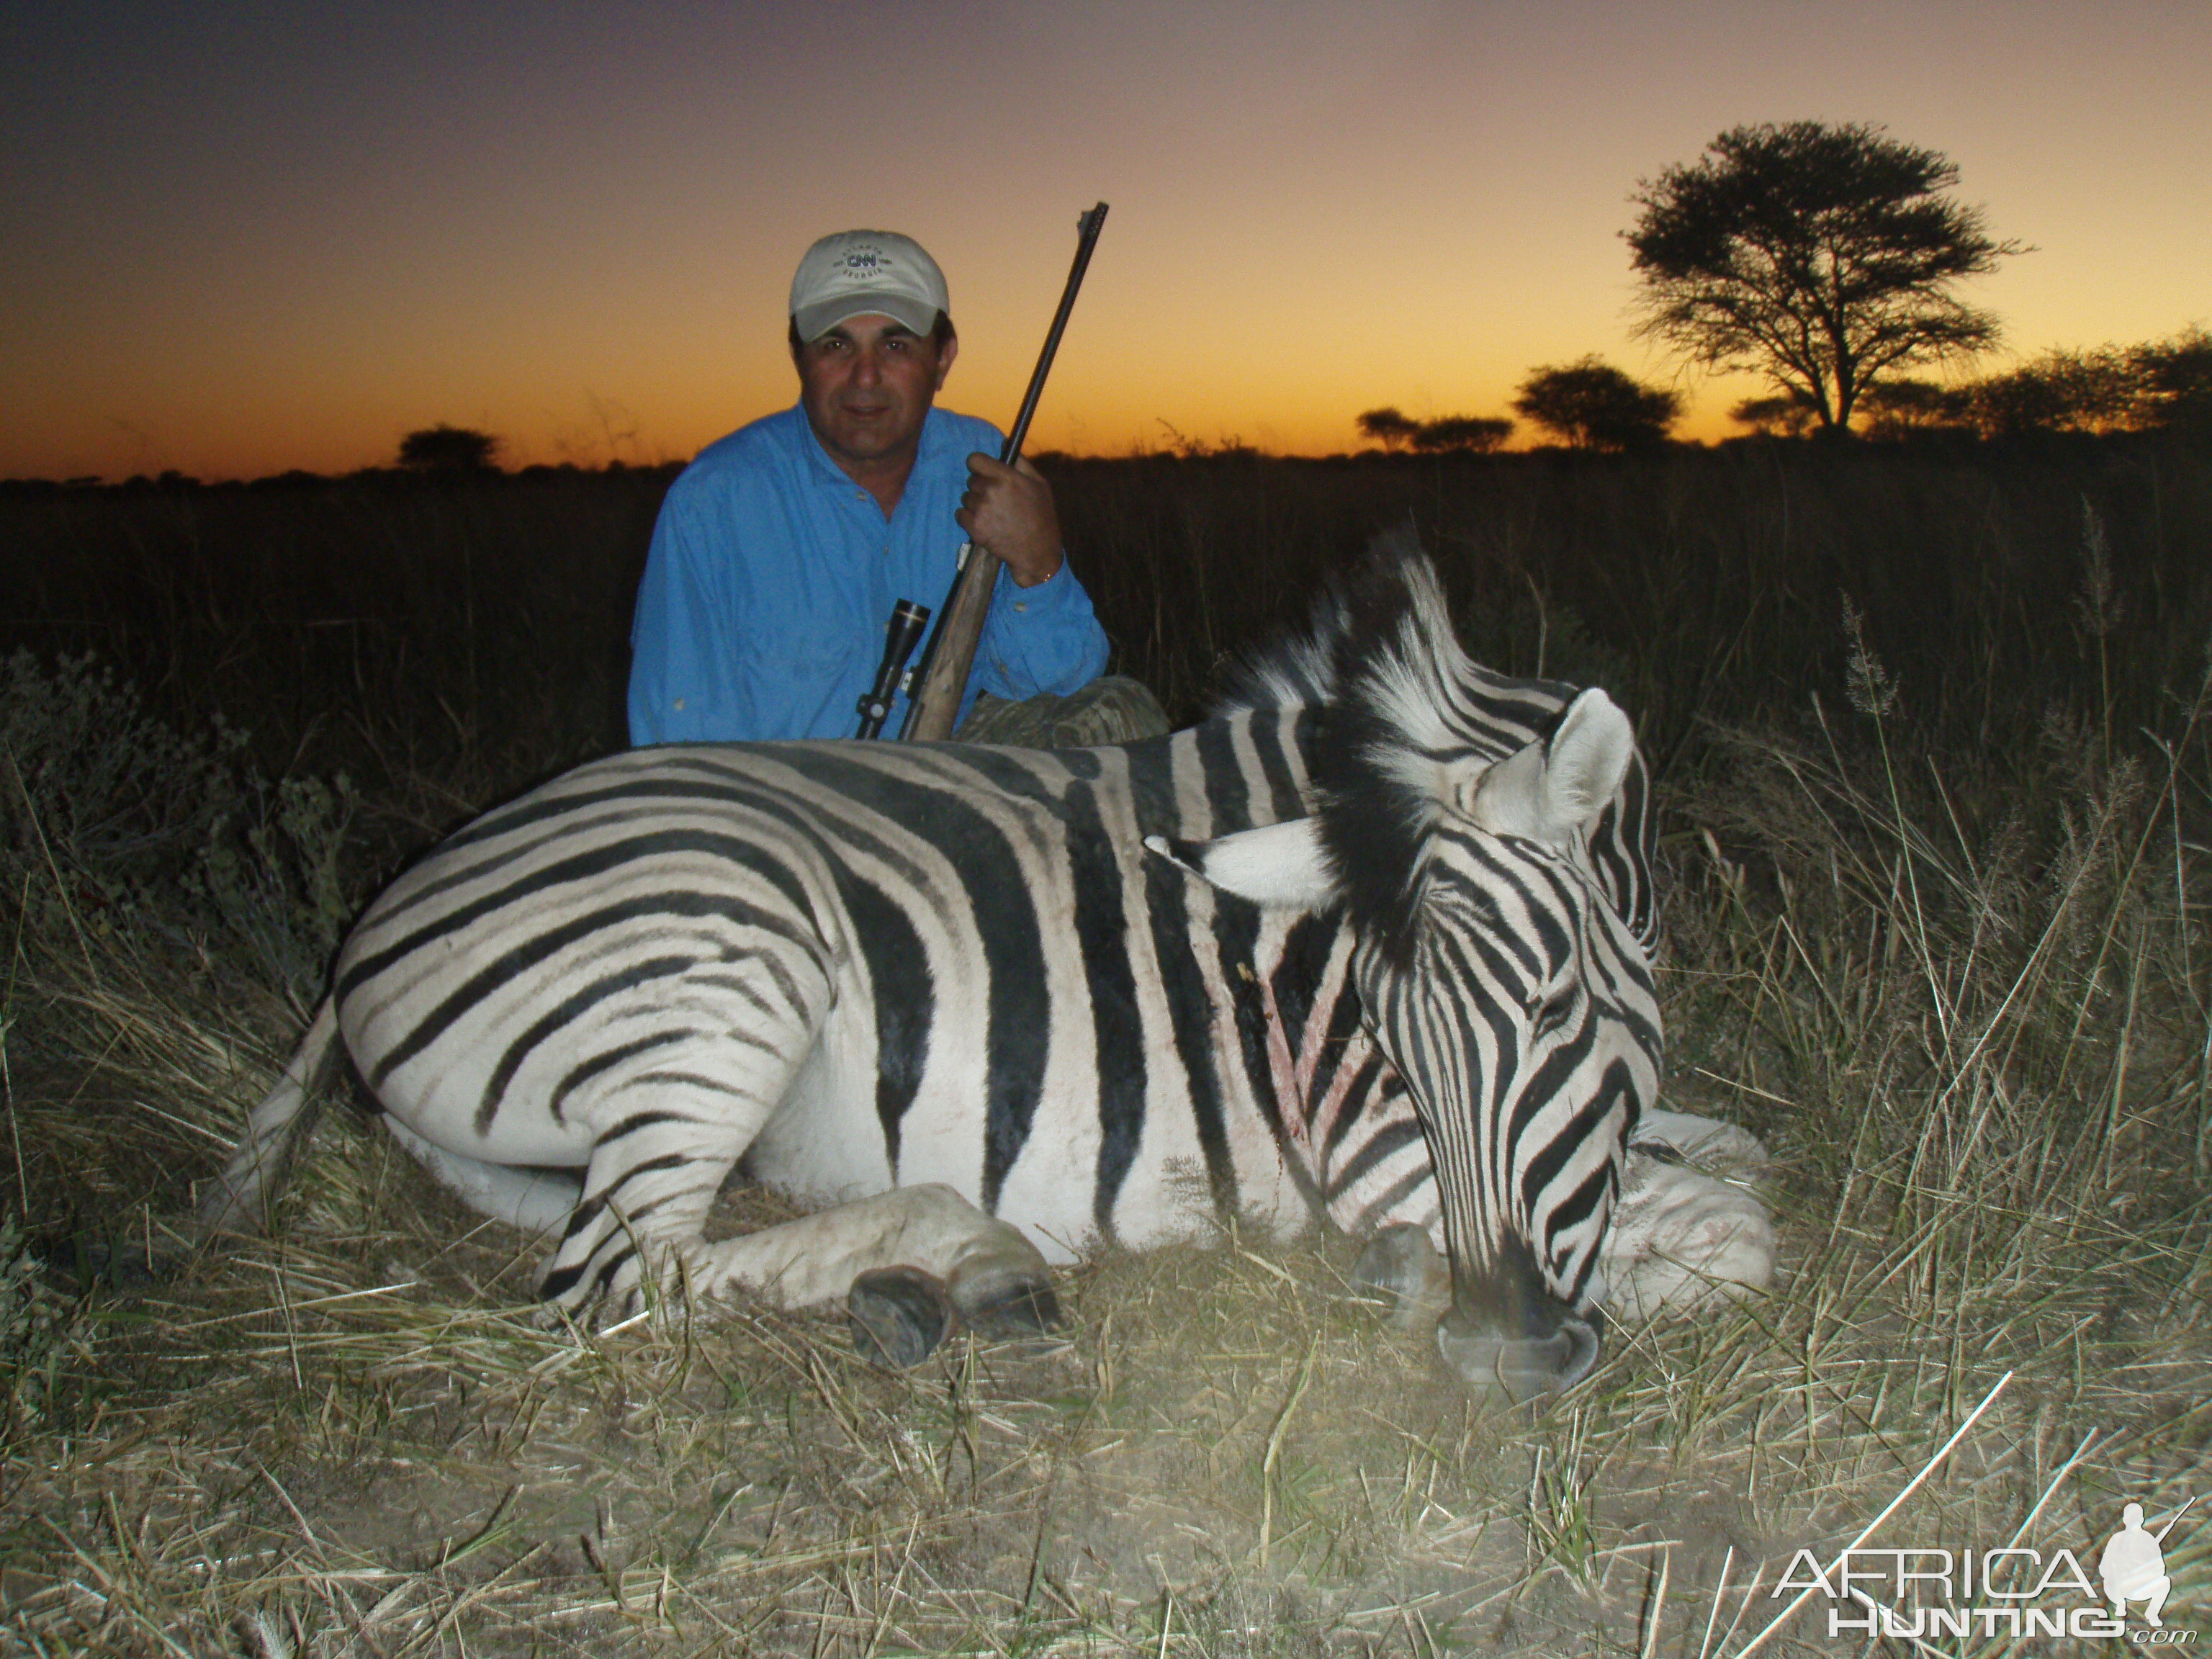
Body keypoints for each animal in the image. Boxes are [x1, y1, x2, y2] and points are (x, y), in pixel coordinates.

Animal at [199, 546, 1769, 1406]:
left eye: (1556, 1007)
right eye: (1388, 1043)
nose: (1502, 1360)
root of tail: (371, 926)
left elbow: (1726, 1148)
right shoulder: (1373, 1147)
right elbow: (1743, 1234)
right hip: (729, 957)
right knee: (621, 1277)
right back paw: (957, 1262)